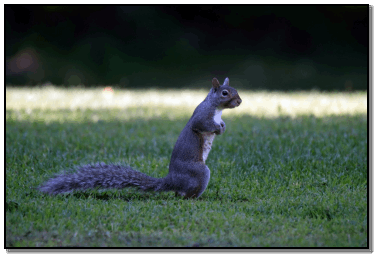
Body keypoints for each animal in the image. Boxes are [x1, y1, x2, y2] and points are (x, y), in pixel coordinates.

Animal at [37, 77, 240, 199]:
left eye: (235, 89)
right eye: (224, 93)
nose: (240, 101)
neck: (217, 109)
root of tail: (171, 180)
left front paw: (223, 127)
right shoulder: (201, 117)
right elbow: (200, 125)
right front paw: (217, 128)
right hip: (199, 172)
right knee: (185, 194)